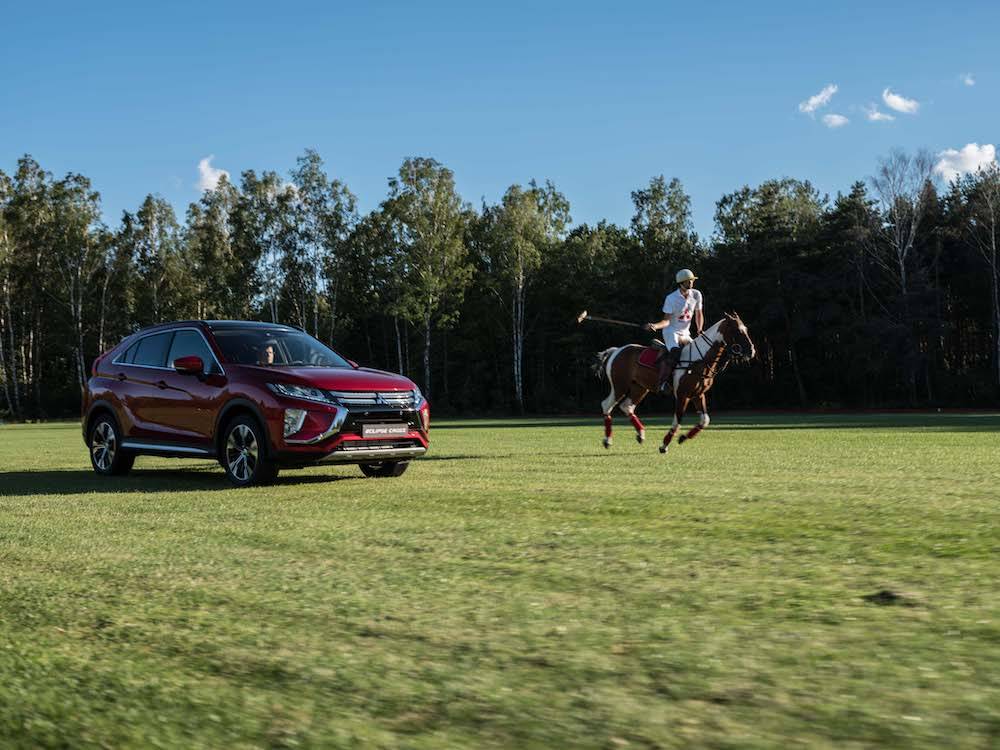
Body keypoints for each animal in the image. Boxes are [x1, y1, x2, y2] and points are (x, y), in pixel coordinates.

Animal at [592, 314, 756, 456]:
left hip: (640, 387)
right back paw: (607, 440)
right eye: (738, 331)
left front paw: (683, 438)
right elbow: (677, 421)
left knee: (627, 406)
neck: (699, 360)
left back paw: (641, 434)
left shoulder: (698, 394)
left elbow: (705, 420)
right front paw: (664, 445)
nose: (752, 351)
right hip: (619, 385)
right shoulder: (682, 395)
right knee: (606, 405)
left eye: (746, 329)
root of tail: (616, 350)